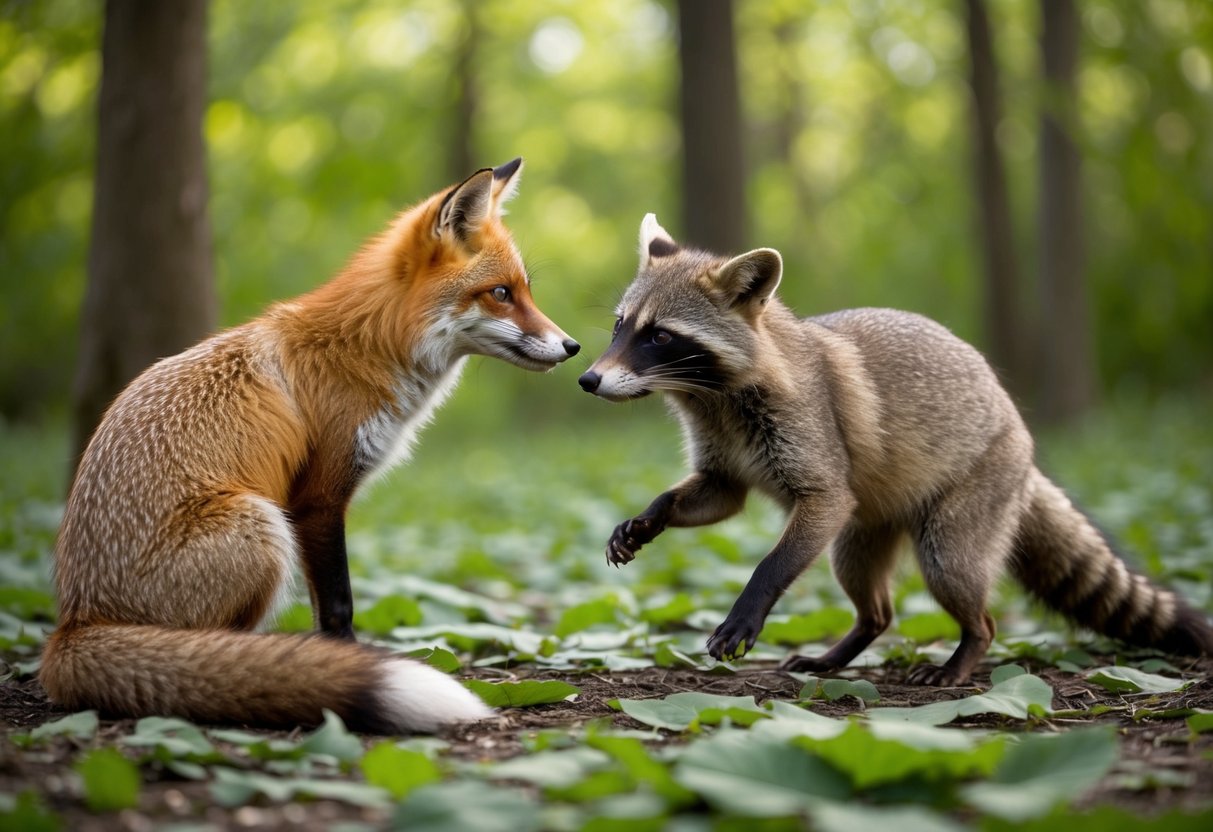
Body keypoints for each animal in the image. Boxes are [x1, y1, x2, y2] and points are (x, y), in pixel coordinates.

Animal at [40, 158, 581, 732]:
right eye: (501, 293)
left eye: (526, 291)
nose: (572, 346)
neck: (366, 347)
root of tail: (73, 622)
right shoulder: (318, 498)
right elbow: (339, 604)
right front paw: (345, 661)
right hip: (260, 525)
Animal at [577, 213, 1213, 685]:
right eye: (620, 327)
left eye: (660, 336)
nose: (587, 379)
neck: (711, 398)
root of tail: (1022, 440)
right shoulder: (724, 459)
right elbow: (715, 497)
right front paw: (650, 516)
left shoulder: (812, 444)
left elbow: (785, 547)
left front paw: (750, 601)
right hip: (864, 534)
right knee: (876, 606)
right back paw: (847, 645)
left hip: (961, 514)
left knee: (961, 584)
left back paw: (968, 648)